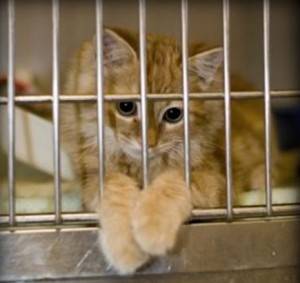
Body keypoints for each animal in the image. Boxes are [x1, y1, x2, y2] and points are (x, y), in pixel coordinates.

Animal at [60, 28, 296, 276]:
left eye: (173, 114)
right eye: (126, 107)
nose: (149, 142)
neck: (144, 167)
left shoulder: (215, 181)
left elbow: (171, 182)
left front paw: (152, 229)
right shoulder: (92, 179)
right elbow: (115, 189)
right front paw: (126, 248)